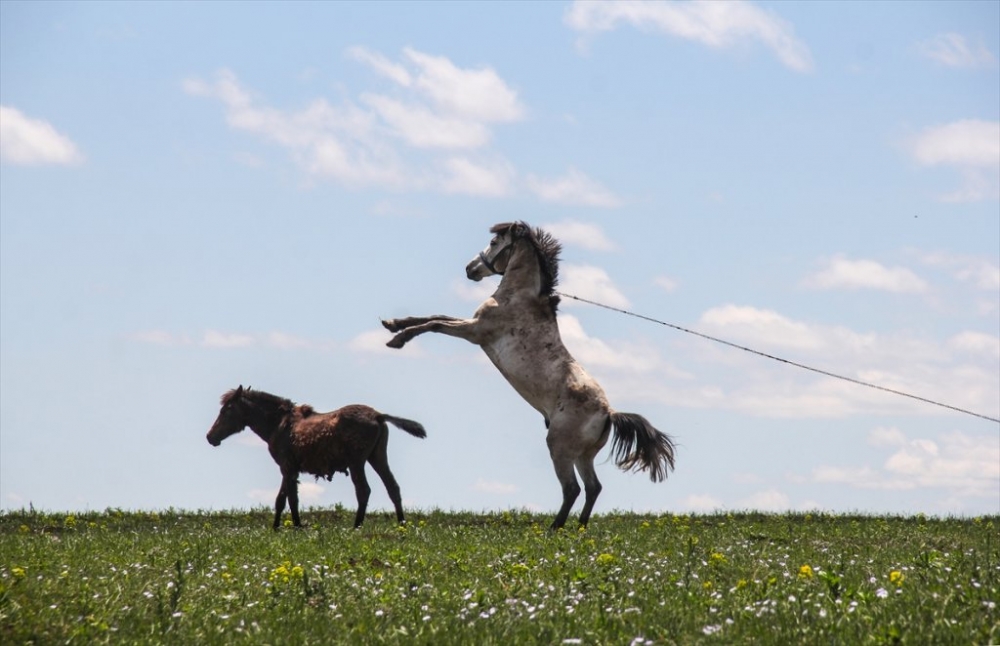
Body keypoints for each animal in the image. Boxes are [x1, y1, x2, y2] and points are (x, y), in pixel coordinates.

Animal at [378, 223, 676, 532]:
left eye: (494, 242)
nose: (470, 269)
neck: (519, 297)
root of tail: (609, 413)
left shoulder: (475, 332)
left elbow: (435, 323)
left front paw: (398, 340)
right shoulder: (472, 324)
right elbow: (434, 316)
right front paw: (393, 324)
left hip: (559, 448)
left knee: (572, 488)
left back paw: (554, 529)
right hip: (583, 454)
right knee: (593, 488)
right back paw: (579, 528)